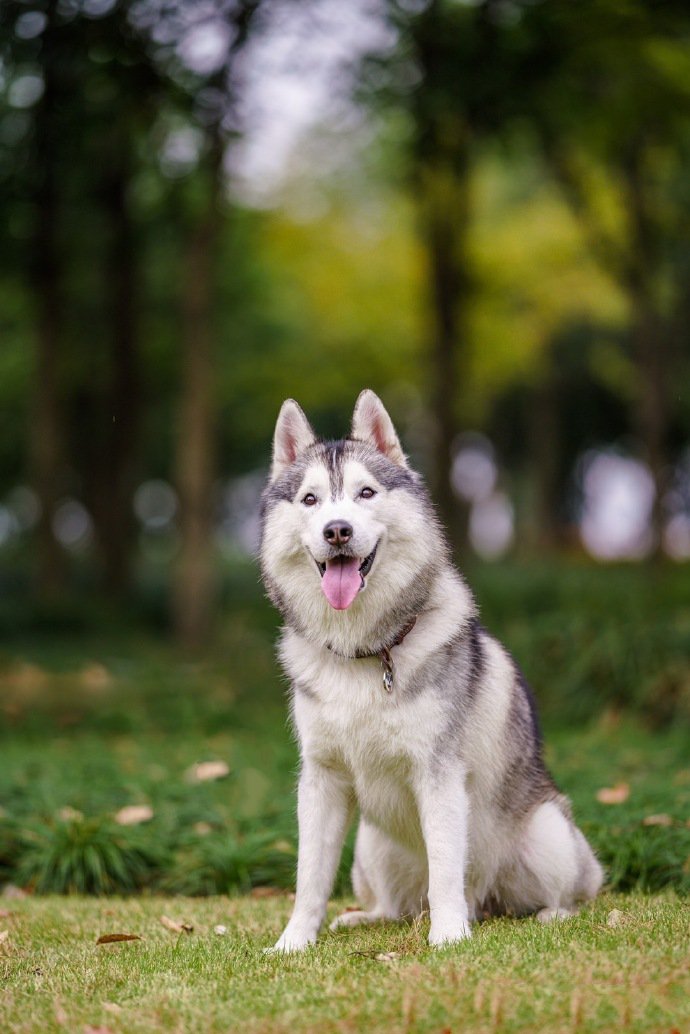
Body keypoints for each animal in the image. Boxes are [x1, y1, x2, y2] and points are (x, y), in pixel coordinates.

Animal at [260, 388, 604, 951]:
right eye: (311, 500)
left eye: (366, 493)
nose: (338, 530)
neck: (365, 653)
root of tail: (487, 905)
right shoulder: (321, 779)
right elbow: (309, 875)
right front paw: (294, 941)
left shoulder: (438, 774)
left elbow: (446, 868)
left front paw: (447, 937)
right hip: (370, 845)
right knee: (396, 904)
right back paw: (366, 917)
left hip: (548, 833)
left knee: (560, 894)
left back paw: (543, 915)